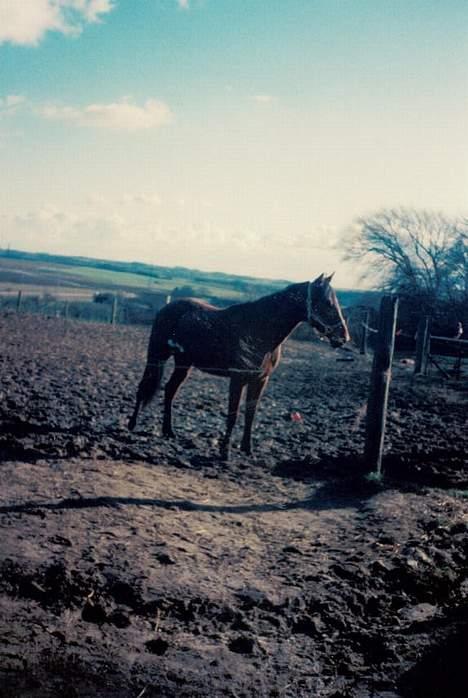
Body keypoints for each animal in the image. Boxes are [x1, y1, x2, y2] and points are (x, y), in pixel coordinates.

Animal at [130, 274, 350, 460]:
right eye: (328, 303)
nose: (344, 337)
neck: (259, 330)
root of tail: (168, 307)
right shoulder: (238, 379)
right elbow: (233, 415)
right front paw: (224, 452)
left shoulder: (260, 380)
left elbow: (250, 414)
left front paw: (247, 449)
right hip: (156, 356)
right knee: (143, 387)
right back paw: (132, 425)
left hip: (184, 364)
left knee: (170, 390)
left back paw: (169, 432)